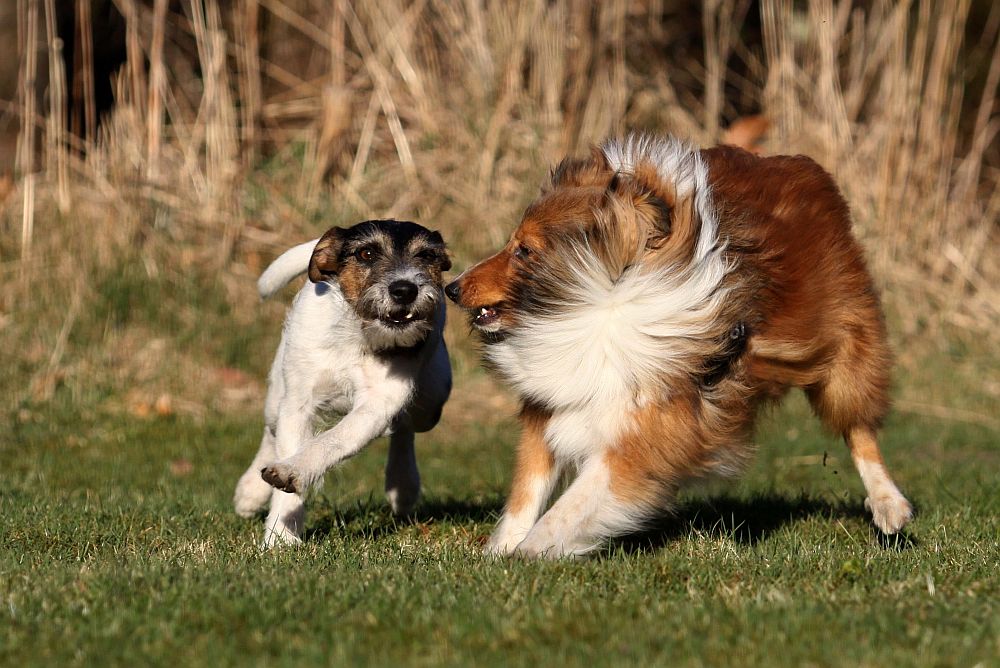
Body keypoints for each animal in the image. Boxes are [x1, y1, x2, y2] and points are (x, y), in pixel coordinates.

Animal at [446, 133, 916, 556]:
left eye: (524, 250)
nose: (452, 287)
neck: (600, 302)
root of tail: (799, 164)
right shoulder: (555, 402)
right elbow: (526, 491)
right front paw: (500, 552)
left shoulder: (647, 432)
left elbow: (571, 506)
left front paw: (530, 552)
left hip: (845, 349)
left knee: (859, 428)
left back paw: (889, 505)